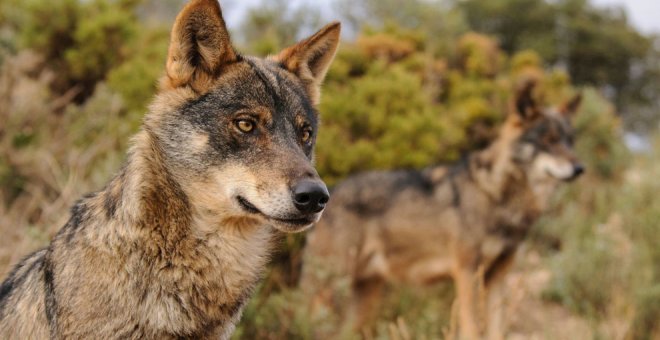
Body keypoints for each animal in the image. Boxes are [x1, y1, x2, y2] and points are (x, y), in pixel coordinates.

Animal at [300, 81, 584, 338]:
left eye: (570, 141)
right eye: (549, 140)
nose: (580, 168)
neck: (497, 194)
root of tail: (330, 192)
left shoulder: (498, 277)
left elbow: (496, 330)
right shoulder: (467, 274)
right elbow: (472, 329)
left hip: (363, 298)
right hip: (329, 290)